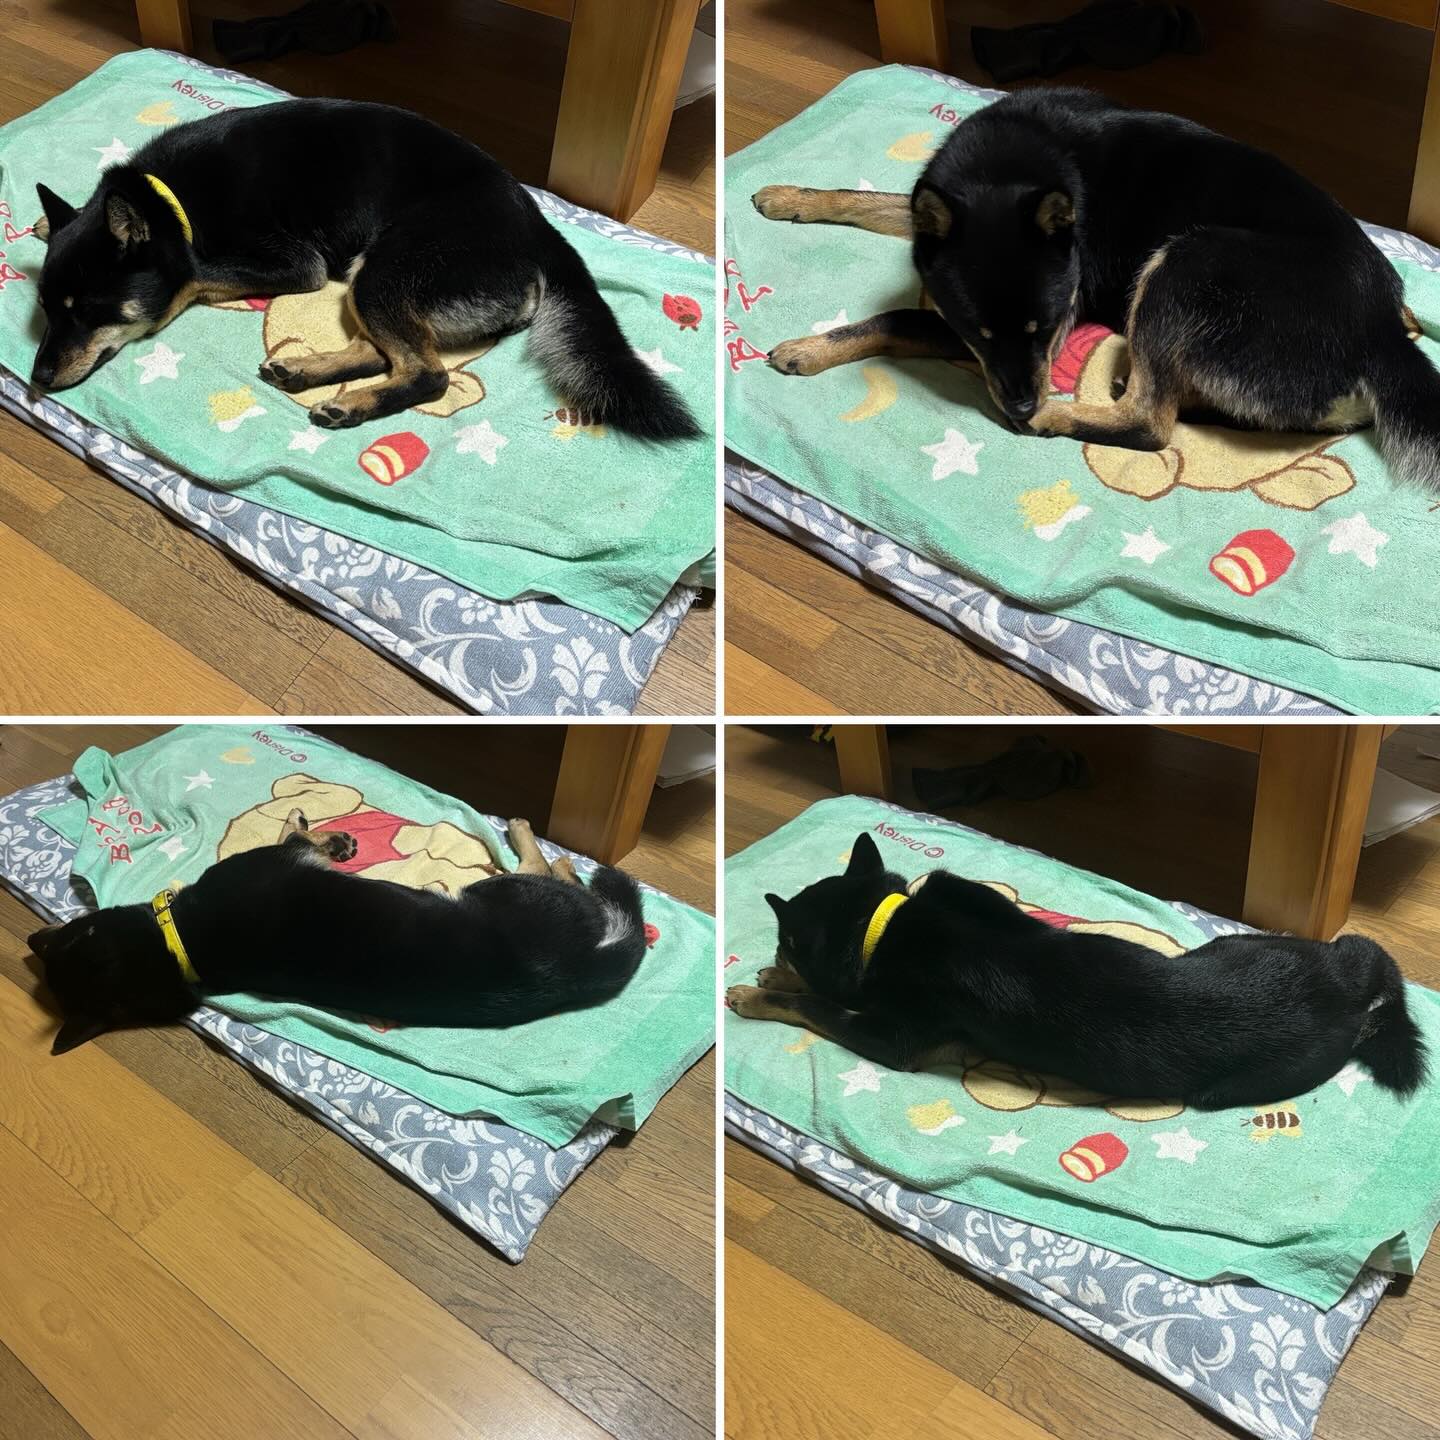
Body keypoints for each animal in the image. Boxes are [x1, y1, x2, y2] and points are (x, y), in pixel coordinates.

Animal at [29, 814, 648, 1055]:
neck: (182, 942)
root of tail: (575, 969)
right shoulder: (284, 858)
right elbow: (297, 837)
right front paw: (326, 835)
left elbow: (296, 835)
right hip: (506, 893)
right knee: (554, 870)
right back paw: (536, 842)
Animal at [30, 99, 699, 439]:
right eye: (46, 312)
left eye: (88, 313)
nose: (36, 379)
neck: (166, 202)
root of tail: (542, 232)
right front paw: (43, 225)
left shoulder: (295, 264)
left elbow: (191, 275)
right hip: (371, 283)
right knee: (387, 353)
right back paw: (309, 372)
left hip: (383, 271)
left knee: (428, 374)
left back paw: (352, 406)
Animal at [726, 832, 1430, 1107]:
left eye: (787, 941)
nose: (776, 959)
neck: (883, 926)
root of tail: (1348, 982)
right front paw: (768, 980)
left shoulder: (895, 1038)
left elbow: (820, 1006)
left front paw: (756, 992)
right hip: (1234, 946)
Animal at [754, 87, 1440, 487]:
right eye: (982, 332)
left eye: (1048, 327)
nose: (1020, 405)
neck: (1013, 163)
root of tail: (1383, 335)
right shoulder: (943, 216)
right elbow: (870, 199)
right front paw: (788, 197)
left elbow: (896, 318)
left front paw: (805, 349)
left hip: (1185, 264)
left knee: (1151, 423)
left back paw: (1059, 415)